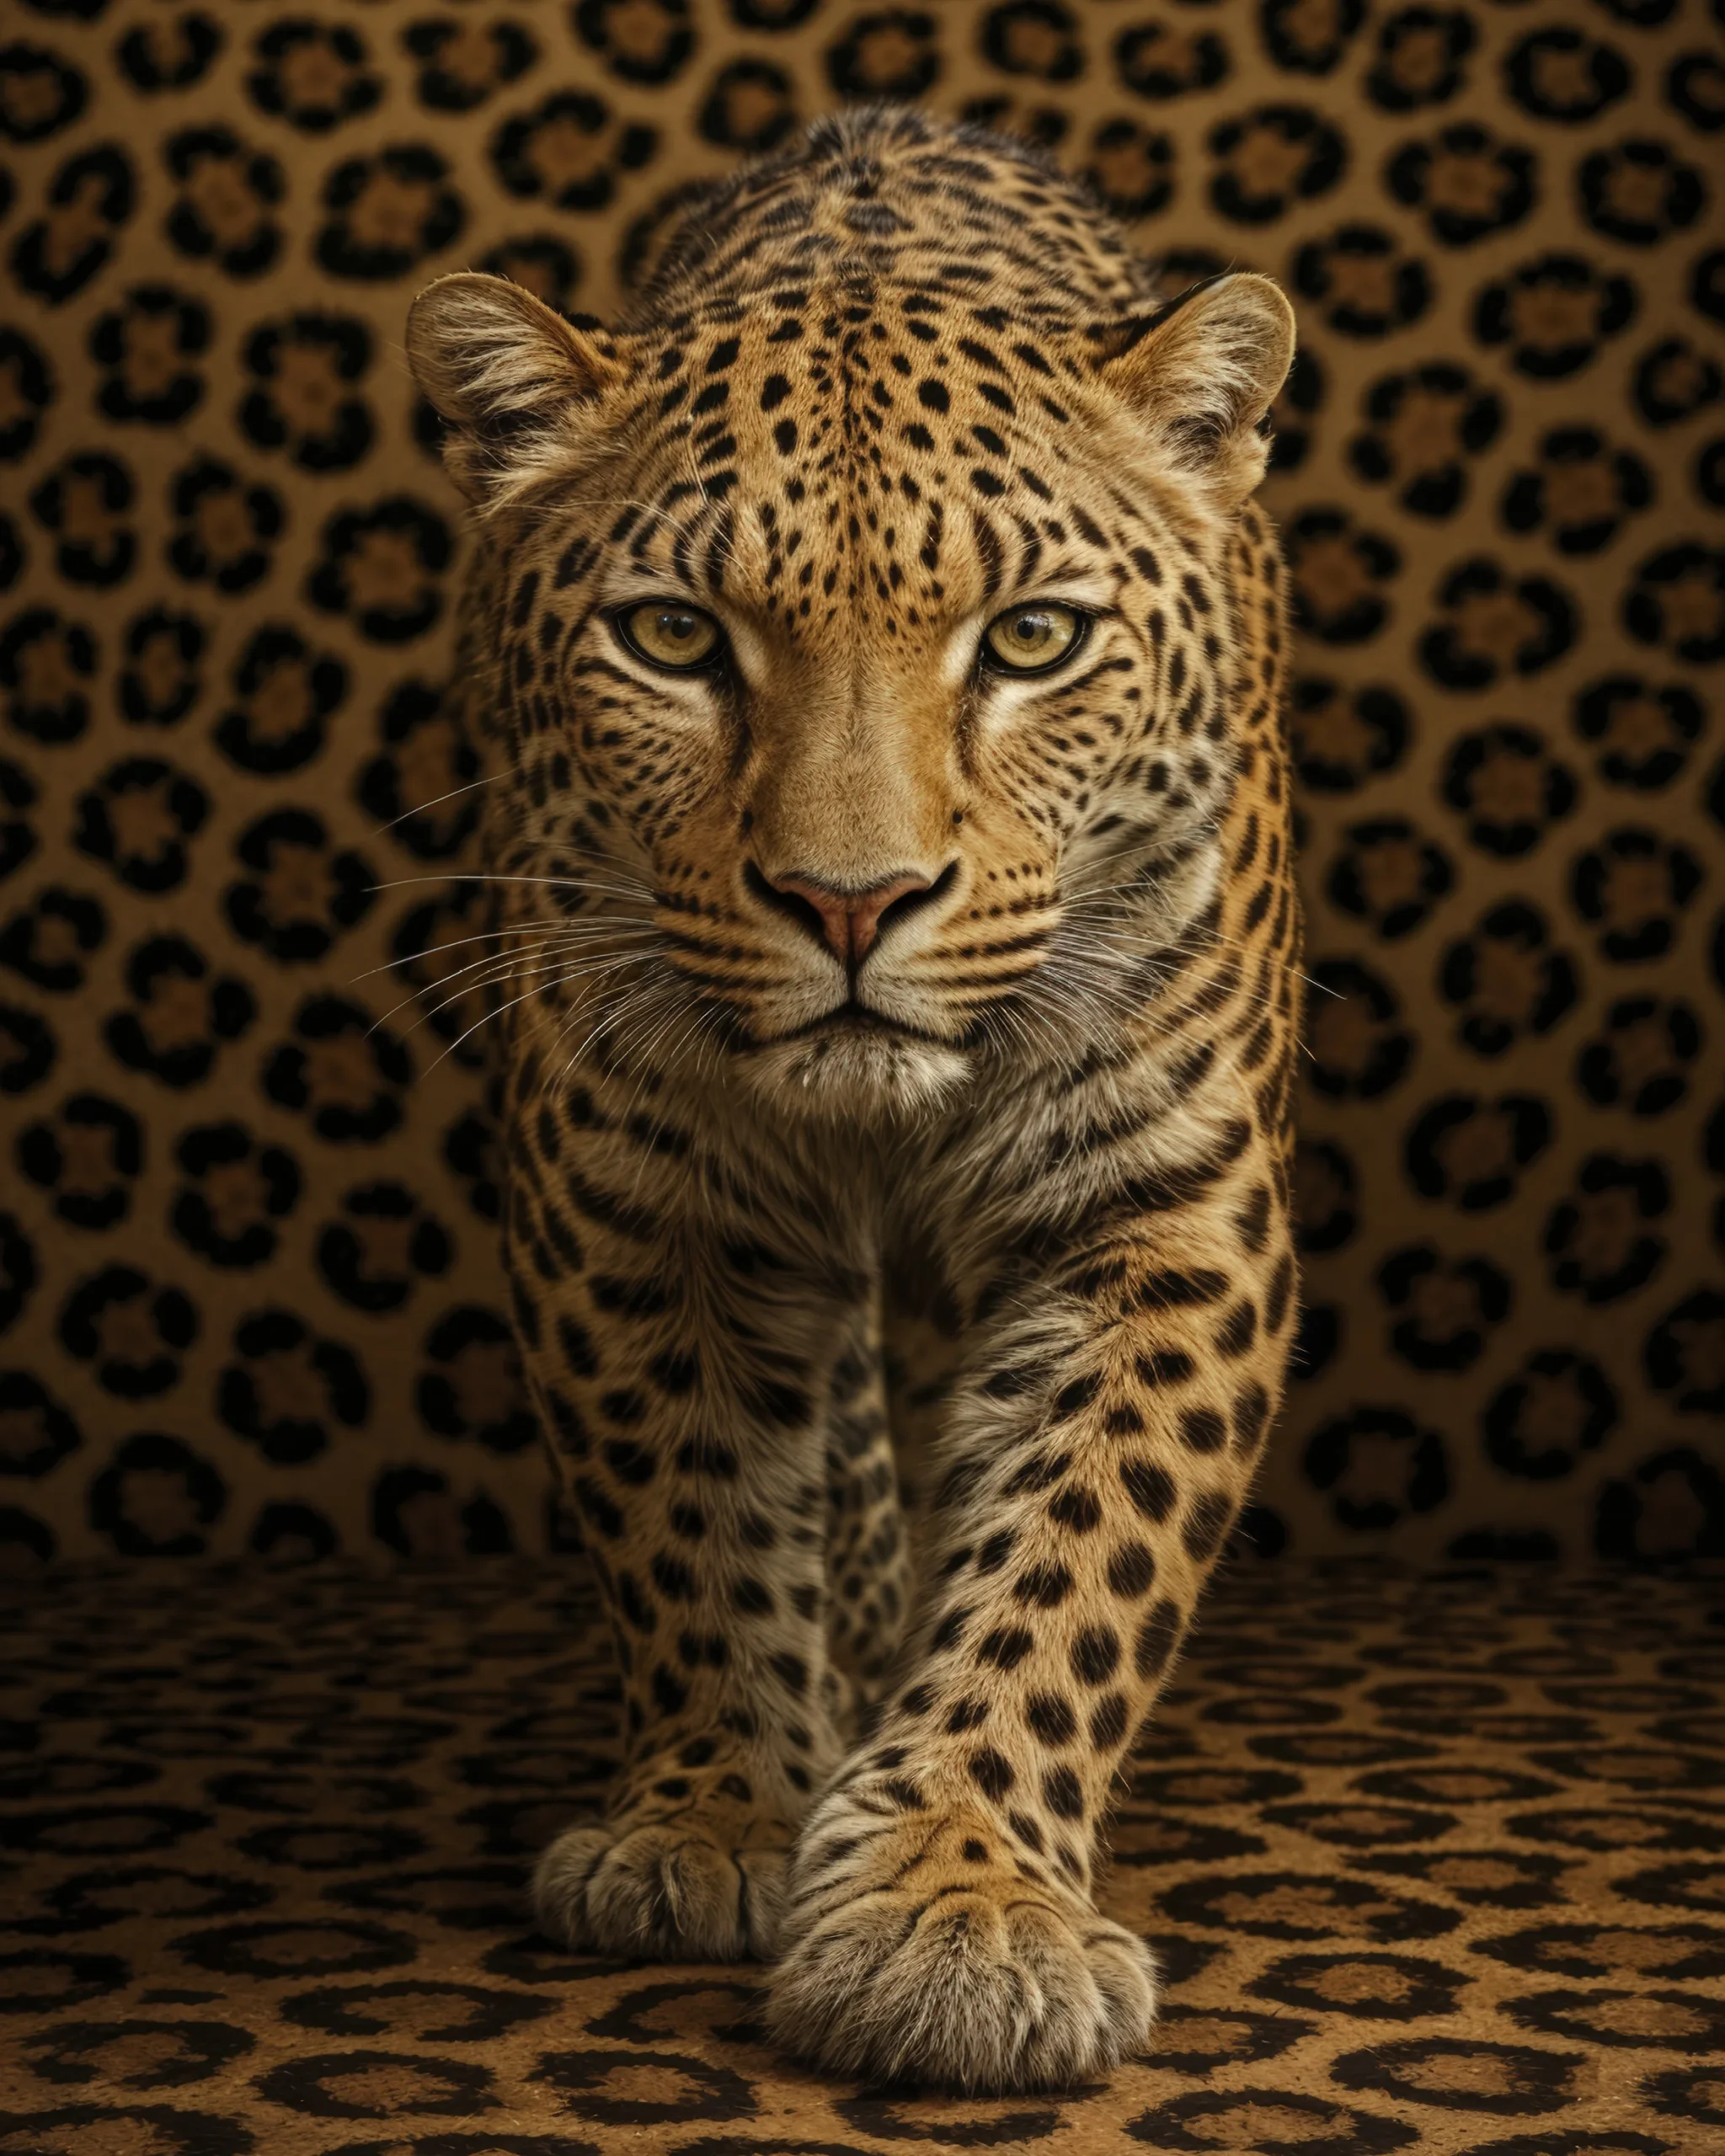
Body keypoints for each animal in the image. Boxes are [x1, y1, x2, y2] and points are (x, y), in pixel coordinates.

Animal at [405, 105, 1301, 2094]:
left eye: (1031, 640)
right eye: (672, 638)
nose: (847, 902)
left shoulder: (1161, 1213)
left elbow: (1076, 1558)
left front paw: (952, 1907)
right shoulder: (628, 1195)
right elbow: (683, 1517)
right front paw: (711, 1821)